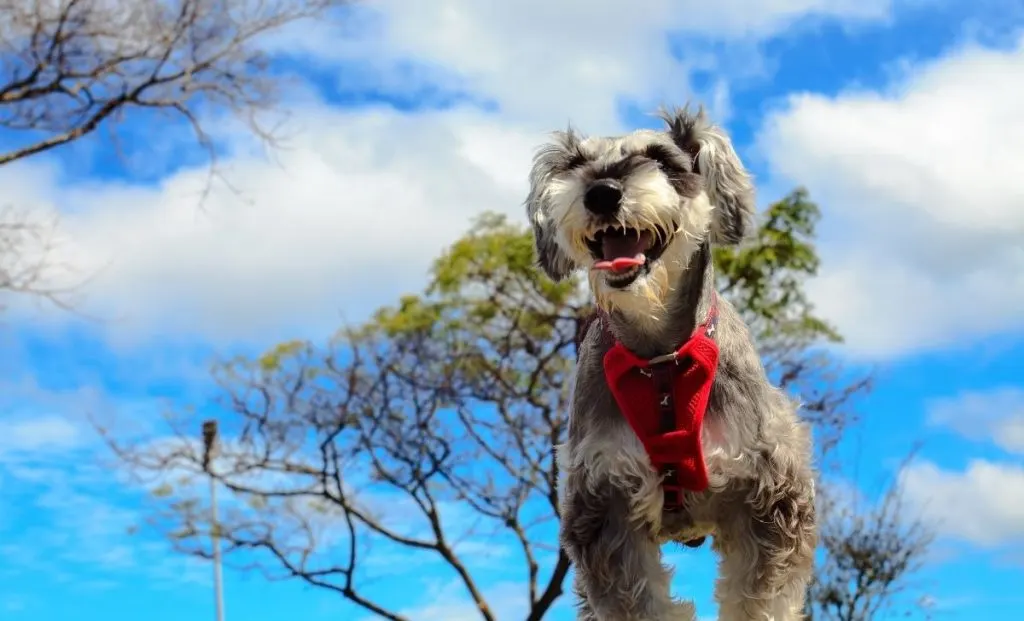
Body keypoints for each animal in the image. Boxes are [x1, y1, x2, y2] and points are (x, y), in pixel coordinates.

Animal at [528, 104, 815, 618]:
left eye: (661, 159)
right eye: (576, 164)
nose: (602, 192)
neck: (660, 358)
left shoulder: (768, 498)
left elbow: (758, 599)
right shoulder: (606, 507)